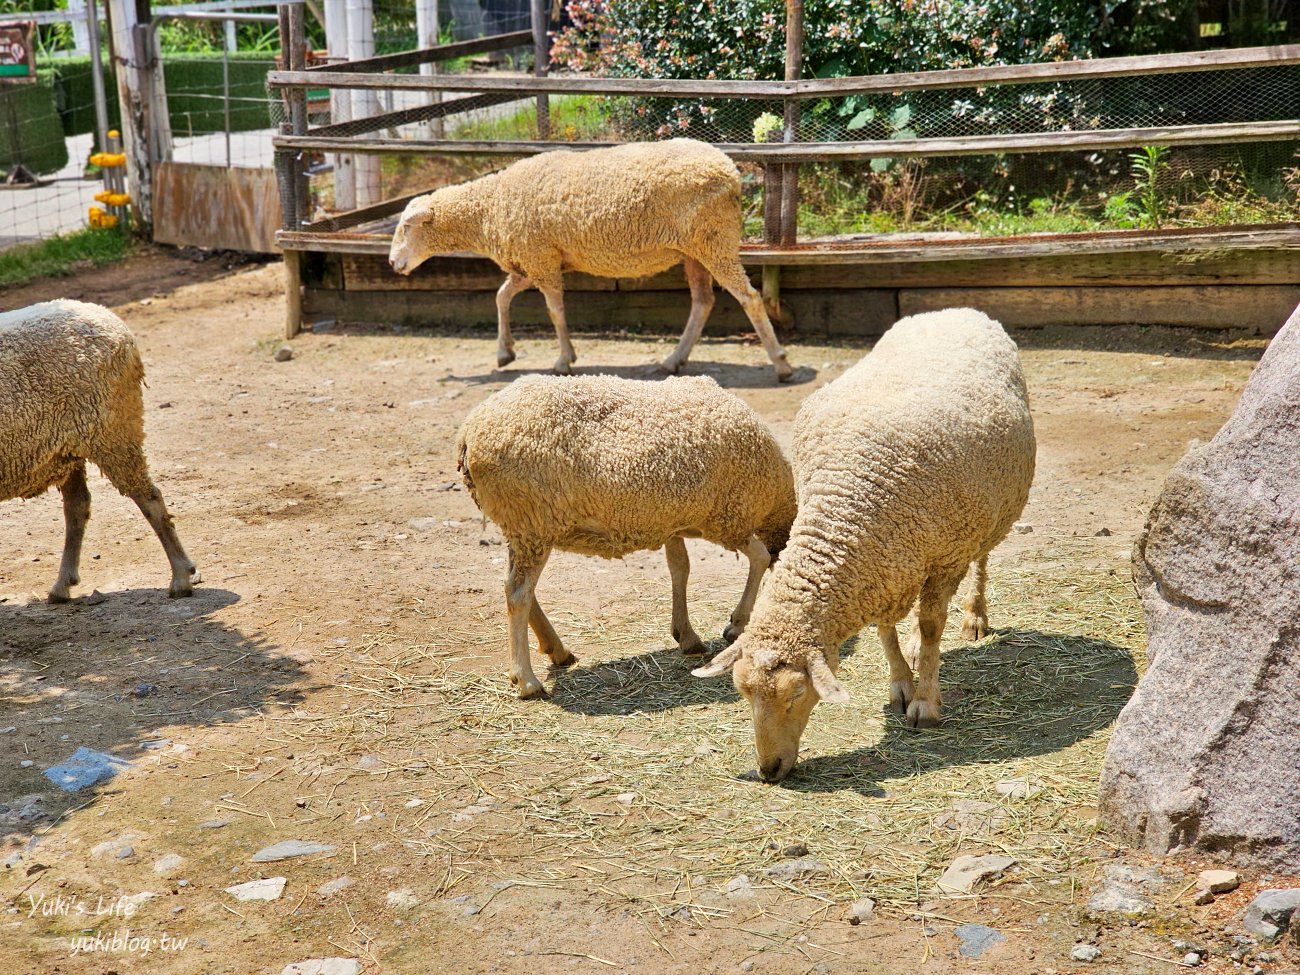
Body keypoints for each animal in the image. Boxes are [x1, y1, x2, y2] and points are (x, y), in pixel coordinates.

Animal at [1, 300, 198, 603]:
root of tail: (110, 318)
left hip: (114, 432)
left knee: (149, 498)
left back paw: (180, 577)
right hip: (68, 450)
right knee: (78, 505)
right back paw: (62, 585)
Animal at [384, 137, 790, 382]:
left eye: (406, 226)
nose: (391, 264)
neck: (490, 207)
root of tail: (731, 171)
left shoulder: (541, 259)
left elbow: (555, 311)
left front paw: (564, 360)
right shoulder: (532, 261)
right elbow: (501, 297)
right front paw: (504, 352)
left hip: (713, 241)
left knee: (749, 298)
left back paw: (781, 363)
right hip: (695, 250)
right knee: (703, 301)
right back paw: (673, 360)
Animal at [457, 374, 800, 702]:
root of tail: (469, 430)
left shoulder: (672, 521)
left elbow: (680, 568)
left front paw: (686, 635)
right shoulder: (729, 518)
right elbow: (760, 557)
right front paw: (737, 624)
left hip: (525, 526)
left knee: (518, 588)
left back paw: (558, 650)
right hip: (532, 520)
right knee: (518, 593)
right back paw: (527, 681)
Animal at [696, 309, 1040, 785]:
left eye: (797, 693)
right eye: (743, 691)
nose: (768, 770)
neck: (848, 501)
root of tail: (952, 310)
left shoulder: (943, 556)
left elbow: (932, 627)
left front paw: (925, 703)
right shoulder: (883, 564)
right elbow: (886, 628)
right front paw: (901, 682)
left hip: (986, 515)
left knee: (979, 565)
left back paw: (974, 617)